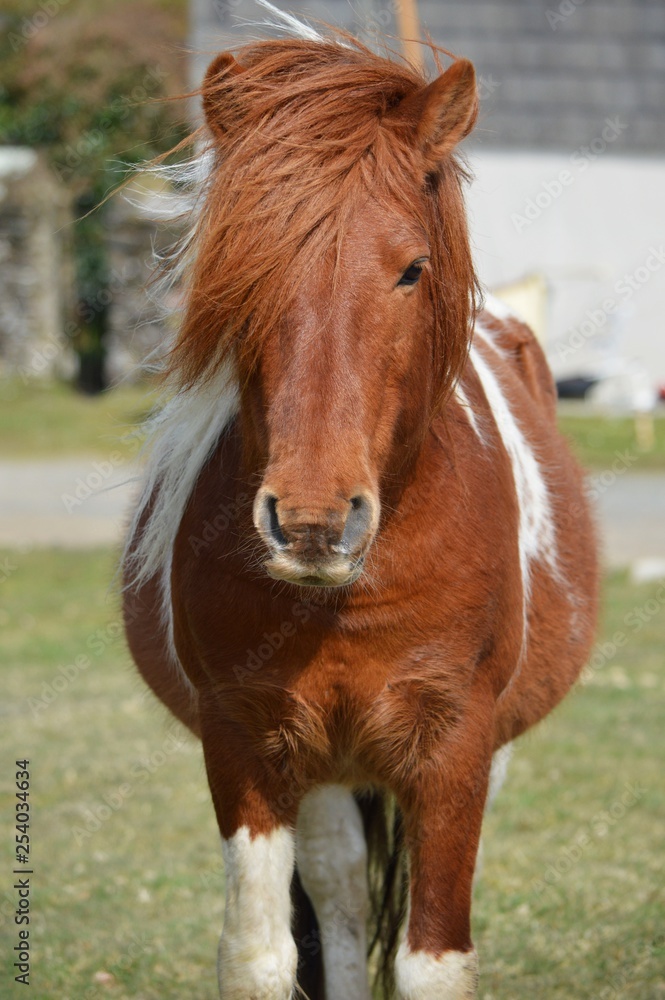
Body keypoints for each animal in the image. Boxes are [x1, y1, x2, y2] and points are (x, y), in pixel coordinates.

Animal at [122, 10, 599, 999]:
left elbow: (431, 961)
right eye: (244, 269)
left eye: (411, 269)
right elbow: (261, 955)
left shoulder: (453, 750)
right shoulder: (246, 743)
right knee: (338, 899)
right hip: (326, 774)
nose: (311, 521)